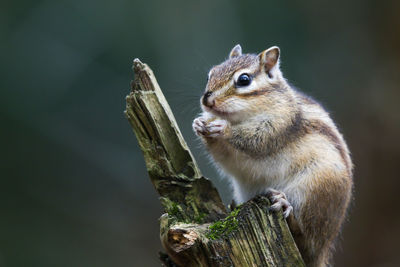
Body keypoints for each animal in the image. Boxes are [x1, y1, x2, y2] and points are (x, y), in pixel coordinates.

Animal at [194, 45, 354, 266]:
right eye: (211, 73)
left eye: (244, 80)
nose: (206, 100)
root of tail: (323, 251)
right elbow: (223, 157)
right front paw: (200, 124)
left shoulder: (278, 124)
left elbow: (256, 139)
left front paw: (223, 128)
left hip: (314, 190)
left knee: (306, 237)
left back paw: (284, 204)